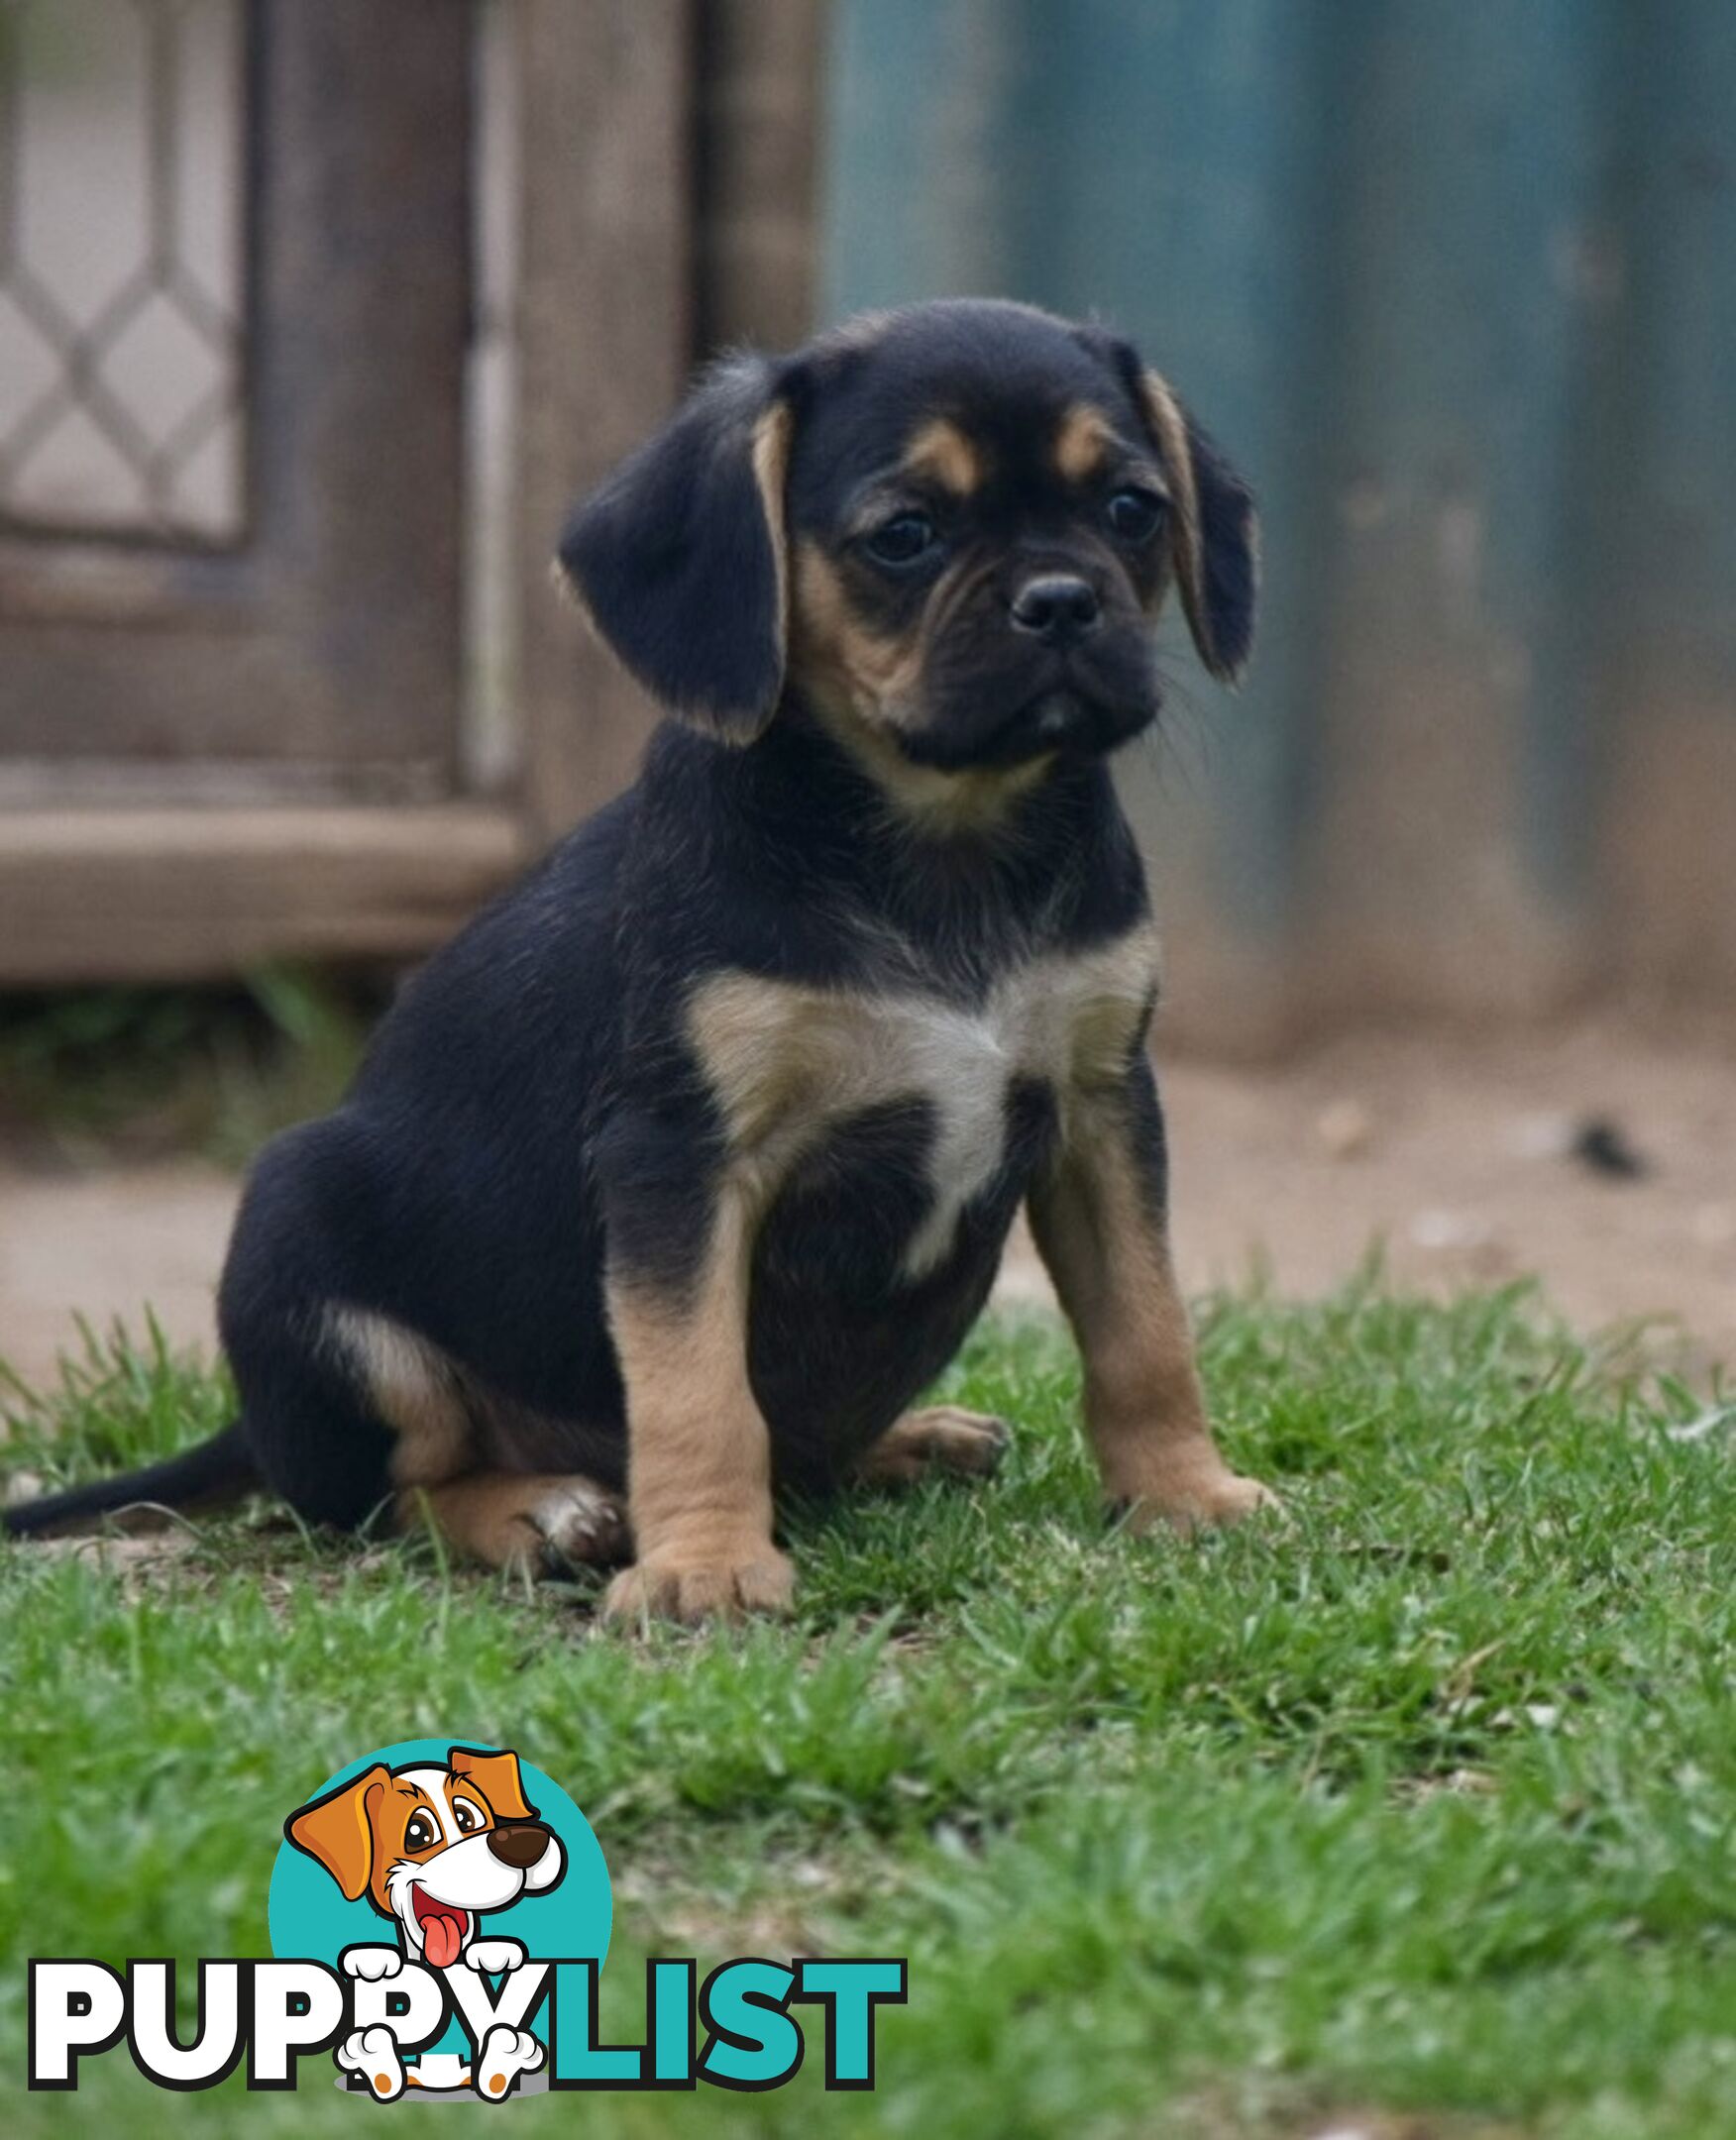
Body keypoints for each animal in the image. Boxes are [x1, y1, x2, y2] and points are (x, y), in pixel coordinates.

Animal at [3, 297, 1275, 1609]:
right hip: (300, 1232)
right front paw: (705, 1566)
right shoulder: (679, 1158)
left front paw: (1185, 1496)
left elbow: (1146, 1330)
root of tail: (253, 1429)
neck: (943, 840)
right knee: (383, 1498)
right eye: (904, 535)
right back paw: (541, 1512)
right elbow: (697, 1388)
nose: (1063, 601)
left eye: (1132, 508)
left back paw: (908, 1441)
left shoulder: (1102, 1106)